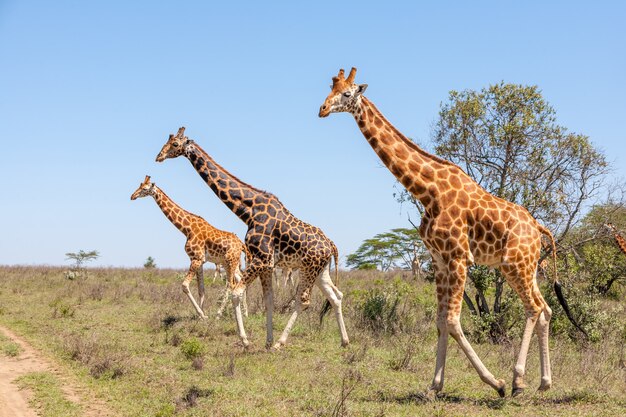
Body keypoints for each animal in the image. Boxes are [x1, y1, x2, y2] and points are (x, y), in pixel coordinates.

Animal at [130, 176, 247, 318]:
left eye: (145, 189)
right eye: (139, 185)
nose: (132, 196)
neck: (187, 229)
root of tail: (241, 244)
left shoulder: (196, 258)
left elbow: (185, 285)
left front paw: (201, 314)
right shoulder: (199, 260)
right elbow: (201, 289)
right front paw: (202, 314)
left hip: (231, 261)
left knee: (231, 285)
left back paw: (219, 314)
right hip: (227, 263)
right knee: (239, 279)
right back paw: (245, 313)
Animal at [154, 127, 348, 348]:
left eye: (175, 144)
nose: (158, 156)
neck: (249, 211)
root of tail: (331, 245)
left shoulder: (261, 259)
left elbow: (236, 293)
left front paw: (246, 341)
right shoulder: (267, 264)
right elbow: (268, 300)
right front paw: (267, 341)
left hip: (309, 268)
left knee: (304, 300)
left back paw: (281, 343)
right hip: (319, 270)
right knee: (336, 296)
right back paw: (344, 341)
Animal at [320, 67, 584, 396]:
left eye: (346, 93)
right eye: (329, 89)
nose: (322, 109)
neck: (427, 190)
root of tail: (537, 226)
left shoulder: (459, 258)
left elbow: (453, 320)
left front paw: (494, 383)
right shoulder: (440, 260)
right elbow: (440, 321)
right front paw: (435, 385)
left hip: (515, 264)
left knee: (534, 308)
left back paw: (517, 380)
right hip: (526, 266)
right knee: (546, 309)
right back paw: (545, 382)